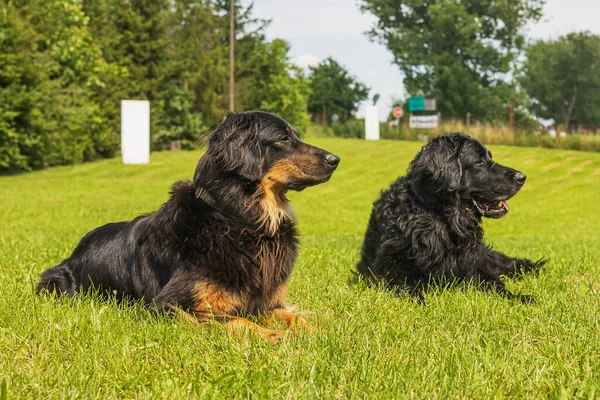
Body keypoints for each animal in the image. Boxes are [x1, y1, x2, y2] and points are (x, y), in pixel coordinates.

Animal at [37, 111, 340, 342]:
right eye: (283, 138)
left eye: (295, 135)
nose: (335, 160)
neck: (239, 219)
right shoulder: (163, 307)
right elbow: (232, 321)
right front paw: (272, 336)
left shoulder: (263, 300)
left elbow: (292, 316)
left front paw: (323, 331)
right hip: (54, 285)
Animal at [358, 133, 548, 302]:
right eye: (479, 162)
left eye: (490, 157)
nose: (522, 177)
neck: (442, 217)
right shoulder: (388, 268)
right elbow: (405, 288)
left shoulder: (473, 262)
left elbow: (495, 283)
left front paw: (519, 298)